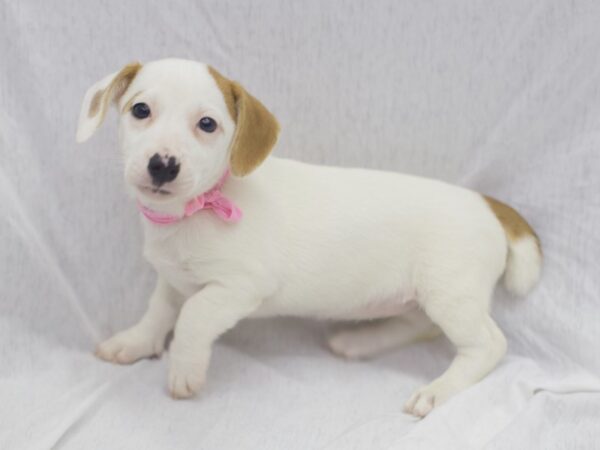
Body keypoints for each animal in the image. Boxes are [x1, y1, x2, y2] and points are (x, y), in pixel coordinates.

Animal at [76, 58, 544, 416]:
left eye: (207, 124)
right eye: (140, 110)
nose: (163, 165)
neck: (197, 209)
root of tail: (485, 202)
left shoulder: (239, 287)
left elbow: (192, 316)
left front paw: (184, 371)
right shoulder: (173, 279)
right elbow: (158, 312)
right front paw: (135, 343)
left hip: (450, 294)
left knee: (488, 345)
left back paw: (437, 390)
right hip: (423, 296)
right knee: (419, 325)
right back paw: (360, 341)